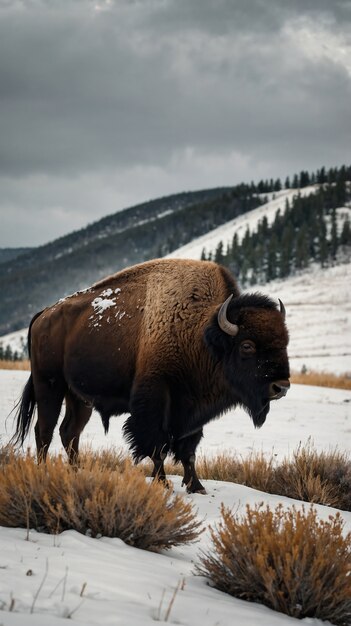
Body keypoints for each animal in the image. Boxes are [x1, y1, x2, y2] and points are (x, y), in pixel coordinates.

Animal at [12, 256, 290, 490]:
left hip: (79, 398)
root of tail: (43, 314)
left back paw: (75, 473)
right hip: (49, 385)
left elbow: (188, 450)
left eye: (285, 342)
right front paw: (163, 484)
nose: (282, 386)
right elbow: (157, 446)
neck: (200, 334)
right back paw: (43, 473)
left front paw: (196, 486)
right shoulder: (155, 399)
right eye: (247, 345)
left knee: (69, 432)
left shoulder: (192, 408)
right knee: (44, 430)